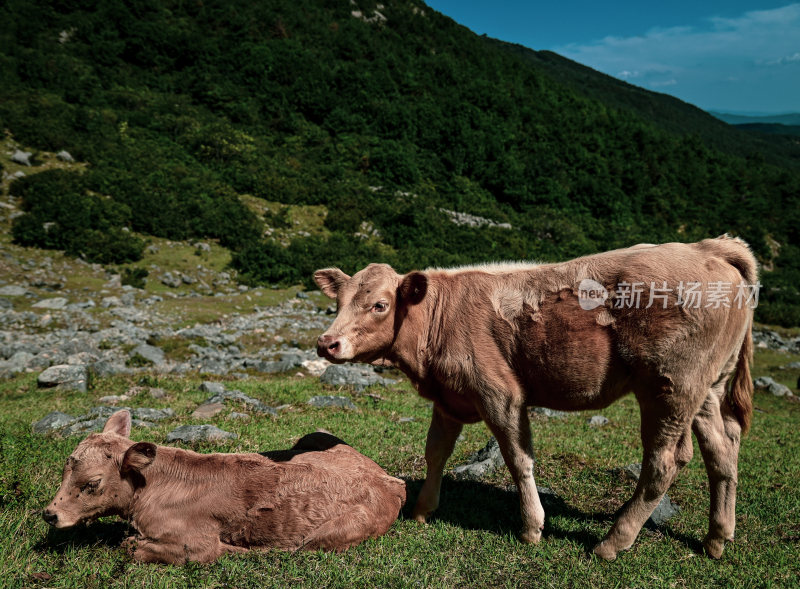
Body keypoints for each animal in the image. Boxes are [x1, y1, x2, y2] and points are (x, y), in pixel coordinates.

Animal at [43, 412, 406, 564]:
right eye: (64, 469)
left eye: (92, 483)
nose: (49, 514)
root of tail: (391, 480)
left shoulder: (196, 545)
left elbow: (133, 549)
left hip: (330, 534)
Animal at [314, 232, 756, 560]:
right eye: (338, 302)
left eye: (379, 305)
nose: (327, 343)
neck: (438, 320)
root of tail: (706, 247)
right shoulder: (449, 398)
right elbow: (435, 452)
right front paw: (422, 509)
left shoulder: (499, 394)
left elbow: (517, 458)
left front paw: (531, 527)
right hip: (706, 389)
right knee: (723, 449)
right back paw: (718, 538)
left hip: (669, 387)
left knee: (665, 461)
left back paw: (613, 542)